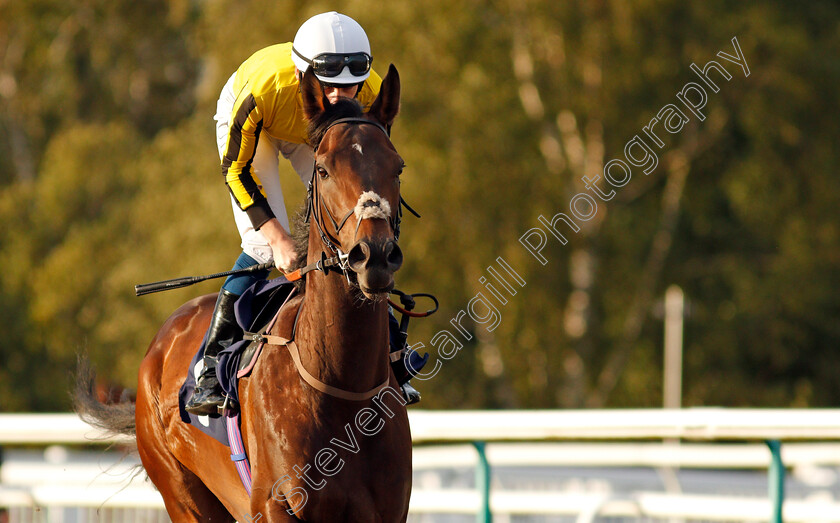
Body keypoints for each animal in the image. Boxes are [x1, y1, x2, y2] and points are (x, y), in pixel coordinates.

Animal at [77, 66, 412, 523]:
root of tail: (161, 341)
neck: (342, 383)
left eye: (397, 167)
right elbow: (239, 173)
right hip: (184, 496)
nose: (373, 255)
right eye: (323, 170)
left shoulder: (390, 509)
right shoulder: (274, 504)